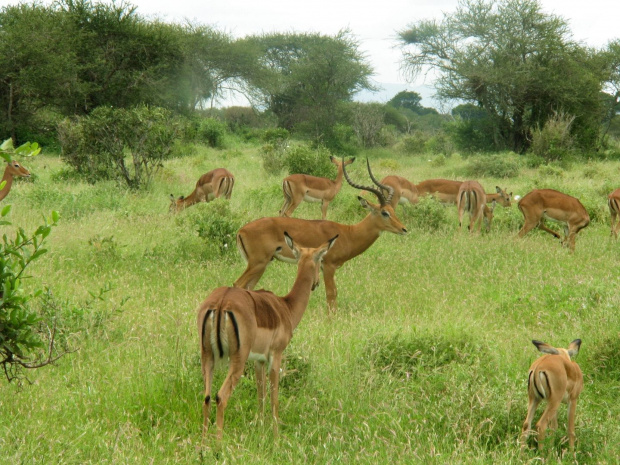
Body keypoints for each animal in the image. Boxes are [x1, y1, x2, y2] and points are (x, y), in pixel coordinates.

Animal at [199, 232, 336, 438]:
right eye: (320, 259)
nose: (316, 283)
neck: (285, 307)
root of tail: (222, 303)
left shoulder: (258, 360)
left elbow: (261, 394)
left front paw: (260, 426)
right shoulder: (275, 355)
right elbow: (274, 397)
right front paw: (276, 434)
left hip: (207, 356)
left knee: (207, 397)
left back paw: (204, 443)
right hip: (237, 360)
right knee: (220, 397)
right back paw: (217, 443)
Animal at [234, 159, 406, 312]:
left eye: (393, 210)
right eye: (384, 212)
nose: (403, 229)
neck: (348, 233)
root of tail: (241, 231)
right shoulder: (329, 266)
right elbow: (332, 293)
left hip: (262, 264)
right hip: (257, 263)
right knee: (238, 285)